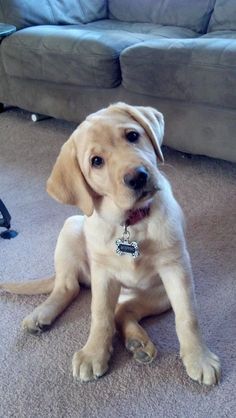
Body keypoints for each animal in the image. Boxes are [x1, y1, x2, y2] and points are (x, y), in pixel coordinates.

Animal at [0, 103, 221, 384]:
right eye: (96, 161)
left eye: (132, 136)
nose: (138, 177)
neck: (130, 221)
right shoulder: (103, 275)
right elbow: (100, 316)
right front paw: (94, 352)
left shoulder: (176, 269)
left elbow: (187, 317)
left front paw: (199, 357)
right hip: (72, 227)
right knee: (68, 287)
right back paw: (41, 315)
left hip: (158, 296)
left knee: (123, 312)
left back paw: (138, 343)